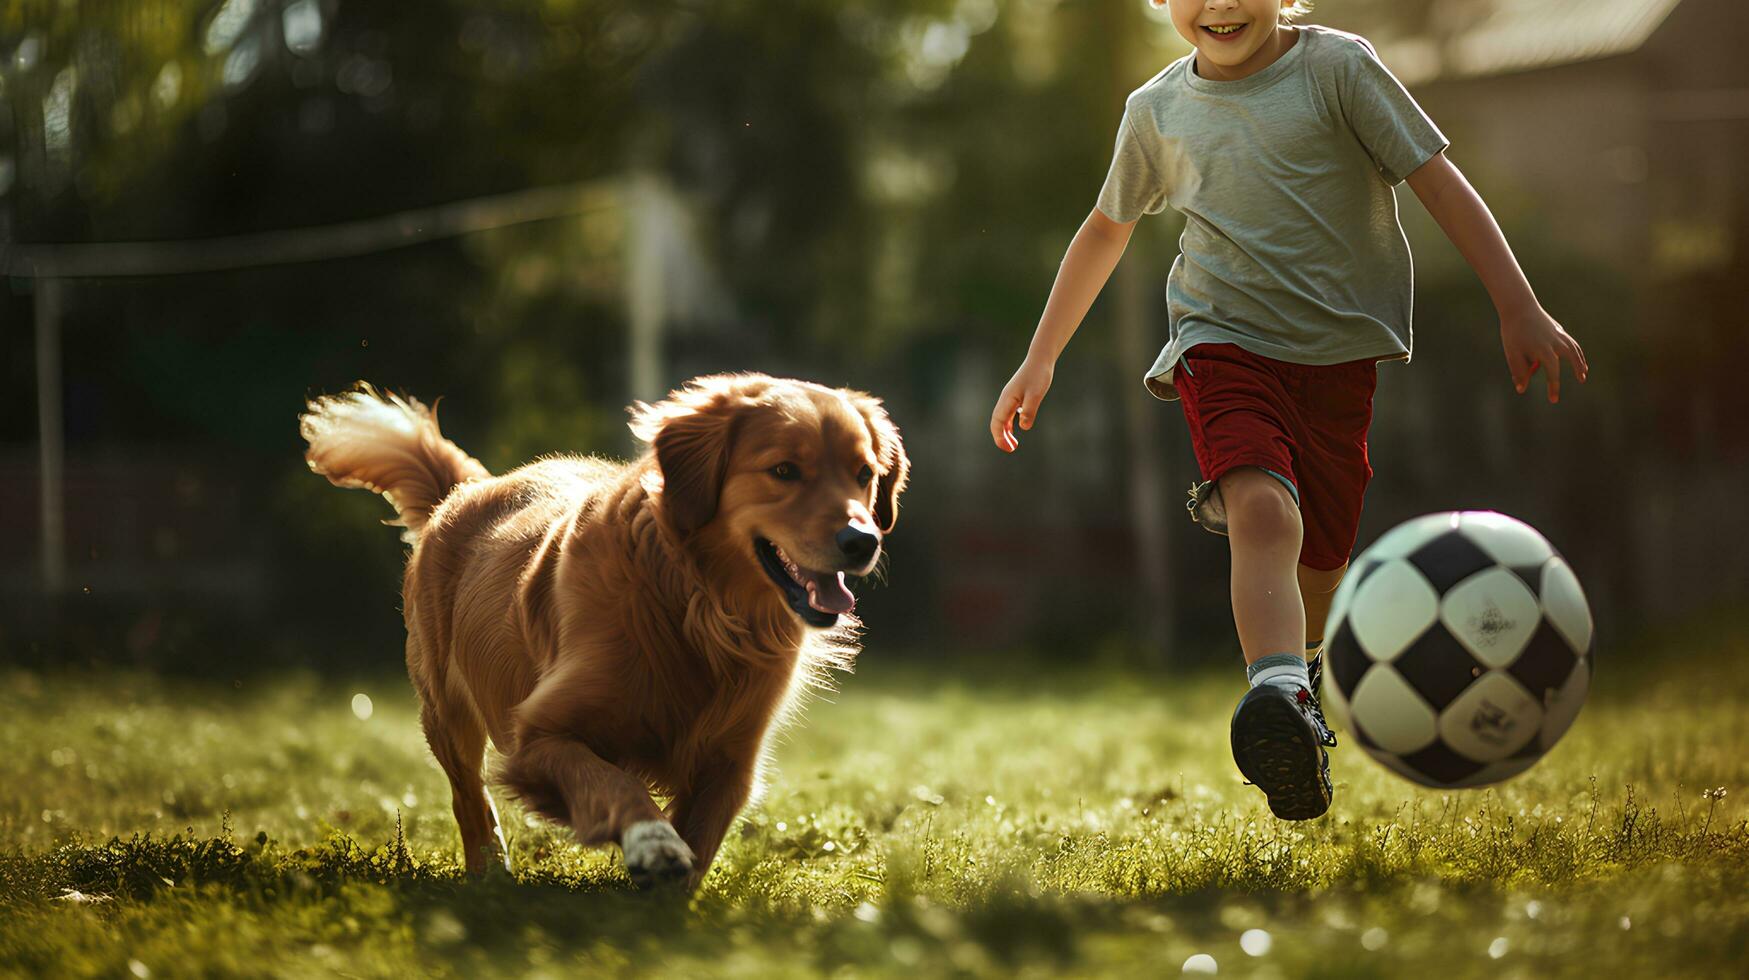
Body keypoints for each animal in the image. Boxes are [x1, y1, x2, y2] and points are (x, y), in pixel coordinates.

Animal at [299, 374, 909, 889]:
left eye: (864, 474)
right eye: (783, 470)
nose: (863, 541)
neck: (697, 606)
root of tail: (470, 487)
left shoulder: (731, 763)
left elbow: (700, 838)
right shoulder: (536, 735)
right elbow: (615, 783)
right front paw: (652, 841)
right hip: (445, 708)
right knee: (468, 794)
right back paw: (491, 870)